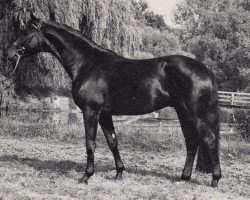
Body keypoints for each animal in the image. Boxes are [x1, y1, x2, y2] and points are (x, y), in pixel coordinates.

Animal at [7, 13, 221, 187]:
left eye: (25, 32)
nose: (9, 53)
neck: (87, 63)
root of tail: (206, 71)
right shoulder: (105, 114)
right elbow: (112, 142)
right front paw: (119, 173)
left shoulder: (90, 111)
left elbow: (90, 143)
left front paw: (86, 176)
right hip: (183, 112)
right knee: (192, 141)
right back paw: (183, 178)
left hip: (195, 114)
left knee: (209, 140)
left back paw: (215, 180)